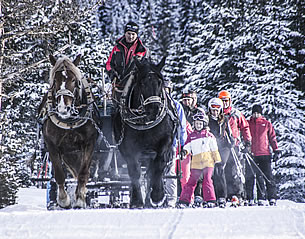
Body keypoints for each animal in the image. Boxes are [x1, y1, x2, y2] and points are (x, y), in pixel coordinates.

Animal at [42, 55, 97, 208]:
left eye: (74, 80)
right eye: (55, 80)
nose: (63, 108)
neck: (70, 121)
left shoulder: (89, 143)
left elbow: (83, 173)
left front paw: (80, 199)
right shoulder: (52, 146)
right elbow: (59, 175)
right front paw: (63, 200)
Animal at [113, 57, 175, 207]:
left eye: (160, 82)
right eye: (141, 83)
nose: (154, 109)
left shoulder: (165, 143)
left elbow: (158, 167)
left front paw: (157, 196)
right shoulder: (128, 148)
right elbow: (134, 171)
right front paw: (136, 200)